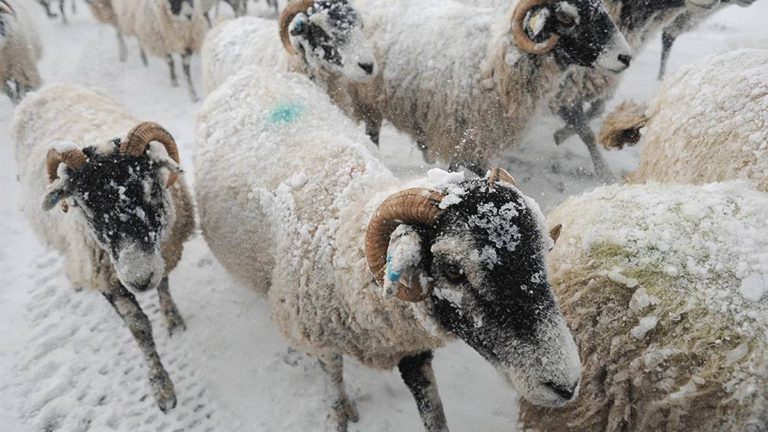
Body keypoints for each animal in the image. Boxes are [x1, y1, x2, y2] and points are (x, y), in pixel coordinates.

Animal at [12, 84, 196, 413]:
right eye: (85, 208)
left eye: (151, 188)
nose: (139, 279)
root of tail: (43, 89)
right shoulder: (107, 277)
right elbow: (139, 328)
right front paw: (162, 388)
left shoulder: (163, 251)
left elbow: (164, 283)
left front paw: (173, 320)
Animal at [195, 67, 581, 431]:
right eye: (453, 270)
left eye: (542, 252)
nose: (566, 383)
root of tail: (251, 73)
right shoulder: (321, 340)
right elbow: (334, 385)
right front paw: (340, 414)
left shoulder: (413, 351)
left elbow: (434, 415)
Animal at [347, 0, 632, 176]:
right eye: (567, 18)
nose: (625, 57)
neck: (496, 63)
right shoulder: (460, 135)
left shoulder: (477, 138)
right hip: (365, 100)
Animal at [546, 0, 728, 179]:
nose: (715, 2)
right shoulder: (566, 85)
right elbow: (587, 132)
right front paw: (604, 172)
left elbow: (596, 111)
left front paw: (561, 134)